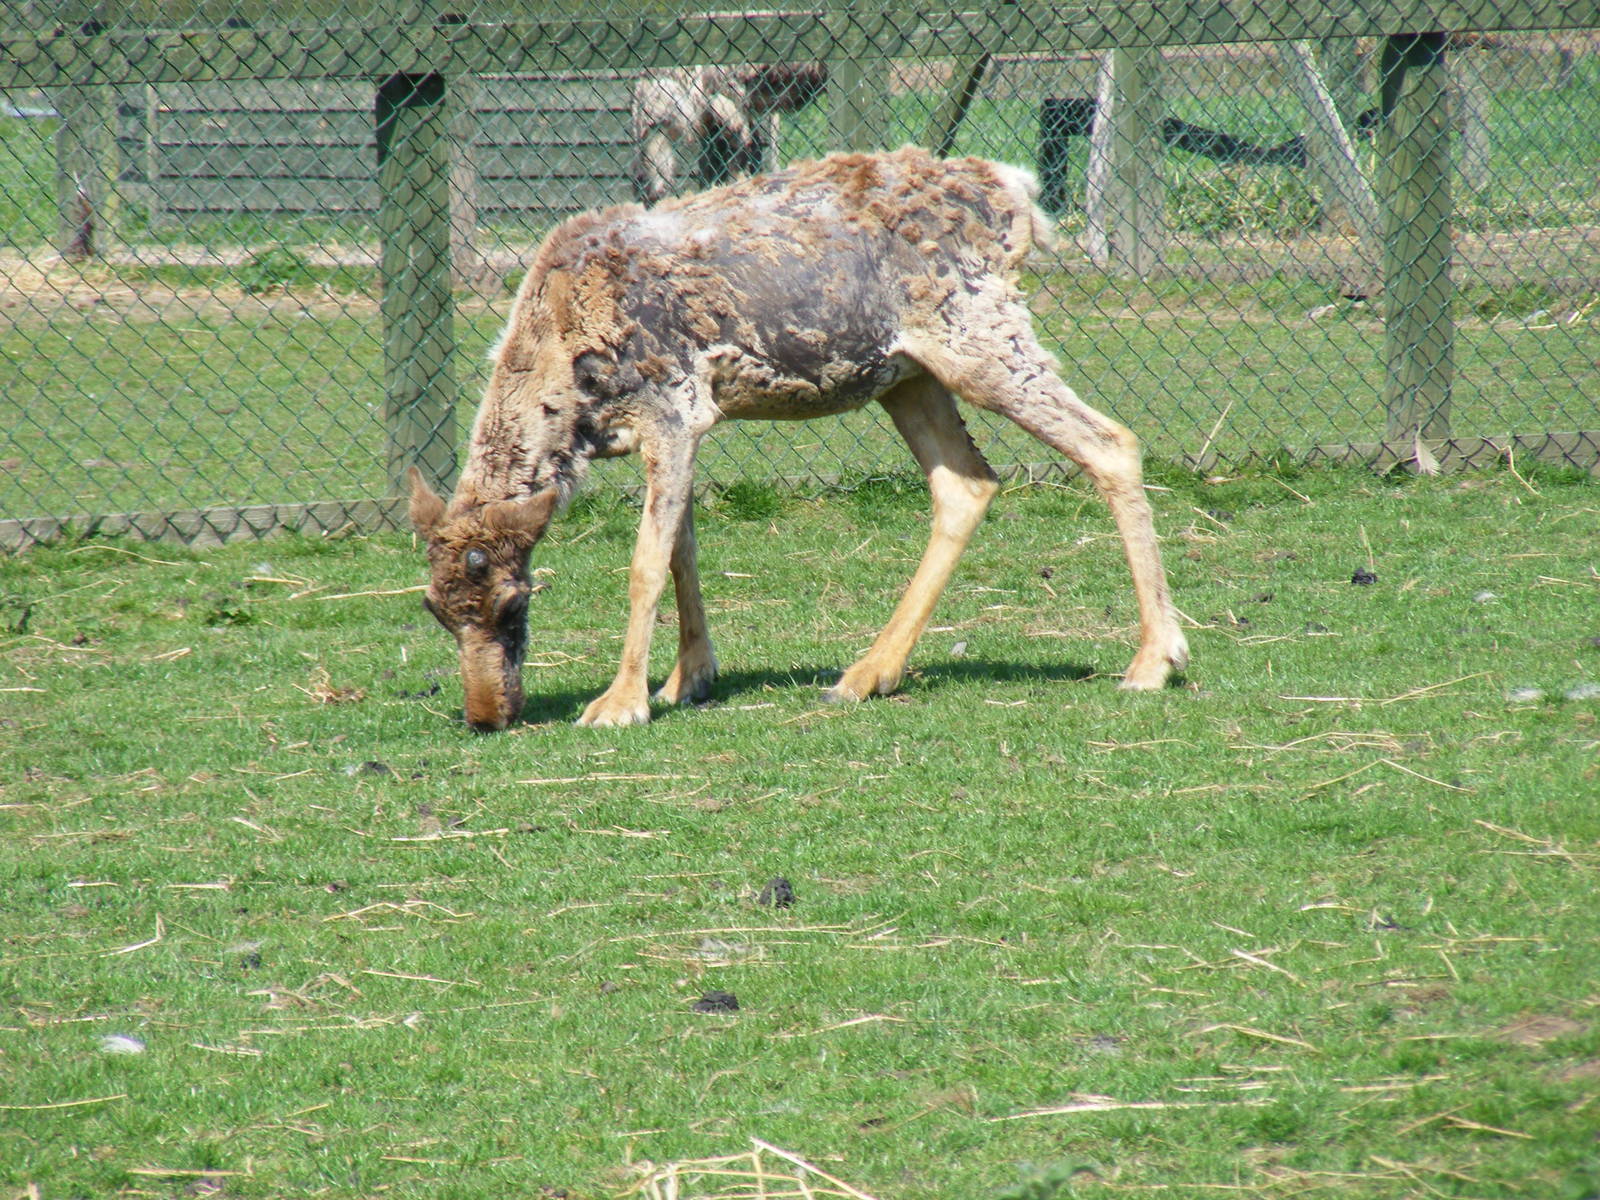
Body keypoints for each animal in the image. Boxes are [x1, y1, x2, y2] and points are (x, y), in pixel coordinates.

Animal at [408, 146, 1189, 730]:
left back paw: (1156, 659)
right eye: (436, 610)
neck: (567, 392)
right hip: (909, 374)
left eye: (514, 602)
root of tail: (1017, 194)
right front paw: (687, 679)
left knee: (1111, 441)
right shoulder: (686, 426)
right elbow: (683, 552)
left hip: (981, 337)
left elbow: (644, 565)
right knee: (967, 481)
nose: (487, 716)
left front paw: (620, 702)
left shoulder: (673, 408)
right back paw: (869, 672)